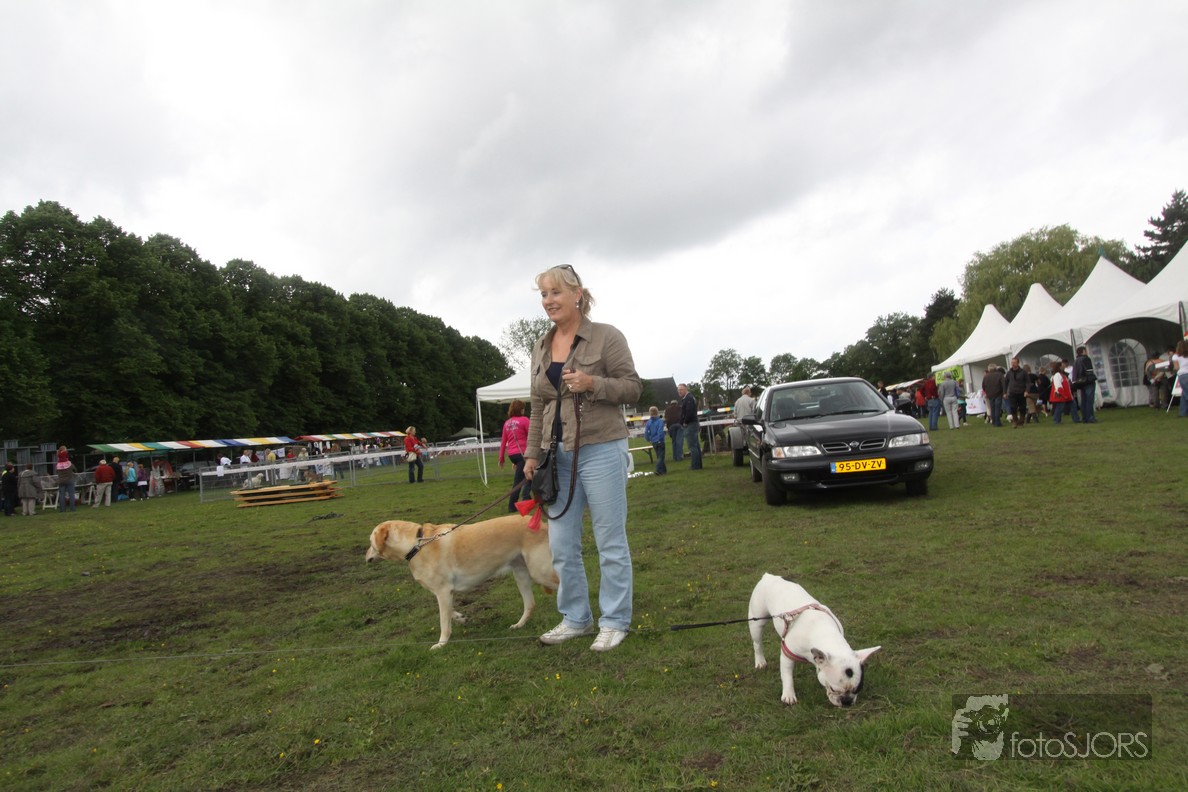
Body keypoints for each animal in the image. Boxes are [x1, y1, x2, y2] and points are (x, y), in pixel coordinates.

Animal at [366, 514, 558, 650]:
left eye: (370, 542)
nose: (365, 557)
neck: (416, 544)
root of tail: (543, 524)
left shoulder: (443, 591)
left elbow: (444, 622)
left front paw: (441, 644)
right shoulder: (445, 593)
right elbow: (449, 612)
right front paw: (461, 618)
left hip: (539, 571)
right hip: (521, 574)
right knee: (530, 604)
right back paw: (519, 625)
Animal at [748, 573, 881, 707]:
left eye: (858, 689)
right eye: (833, 689)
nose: (847, 702)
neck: (827, 634)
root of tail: (768, 576)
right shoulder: (787, 655)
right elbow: (787, 676)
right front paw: (788, 695)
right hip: (757, 621)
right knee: (757, 643)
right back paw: (760, 661)